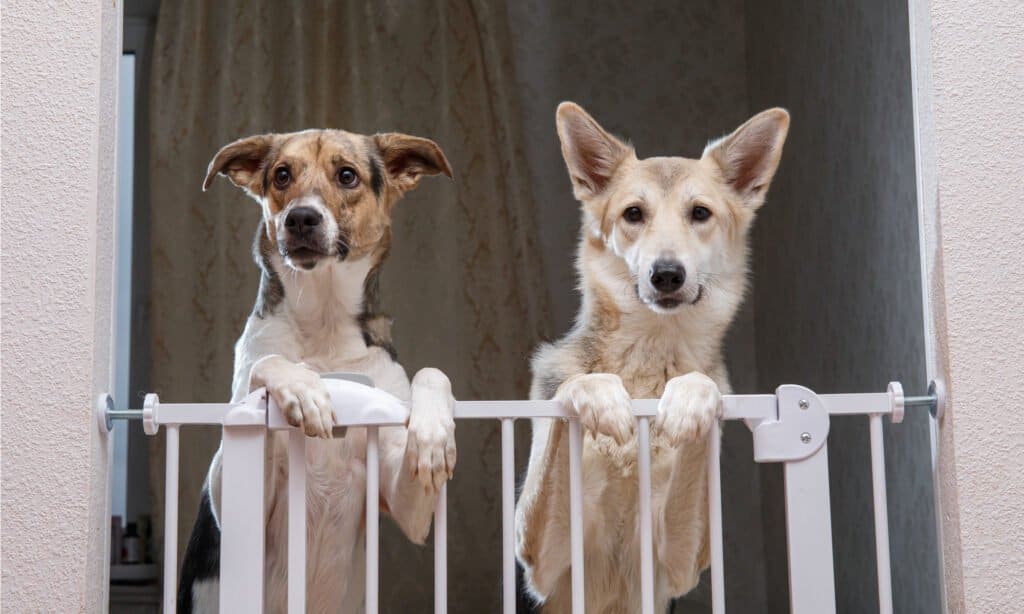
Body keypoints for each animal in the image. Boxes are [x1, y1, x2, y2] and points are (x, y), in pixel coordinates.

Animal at [178, 126, 458, 609]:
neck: (324, 324)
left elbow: (431, 375)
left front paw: (433, 433)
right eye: (281, 175)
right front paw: (304, 391)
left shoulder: (409, 504)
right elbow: (269, 361)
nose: (301, 218)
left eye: (346, 175)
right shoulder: (231, 497)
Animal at [516, 103, 786, 609]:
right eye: (633, 214)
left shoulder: (680, 557)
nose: (666, 275)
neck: (650, 352)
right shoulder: (542, 555)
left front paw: (689, 402)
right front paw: (600, 396)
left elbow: (700, 389)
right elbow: (573, 388)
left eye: (700, 213)